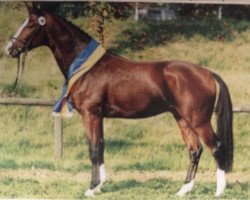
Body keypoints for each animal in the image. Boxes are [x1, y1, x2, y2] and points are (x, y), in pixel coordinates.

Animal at [4, 2, 233, 197]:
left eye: (31, 24)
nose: (10, 49)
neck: (88, 68)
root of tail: (207, 73)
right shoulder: (99, 117)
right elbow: (101, 147)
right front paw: (100, 186)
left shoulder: (90, 115)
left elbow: (93, 150)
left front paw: (91, 188)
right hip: (182, 119)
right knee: (195, 150)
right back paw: (183, 190)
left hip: (198, 120)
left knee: (216, 147)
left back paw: (219, 191)